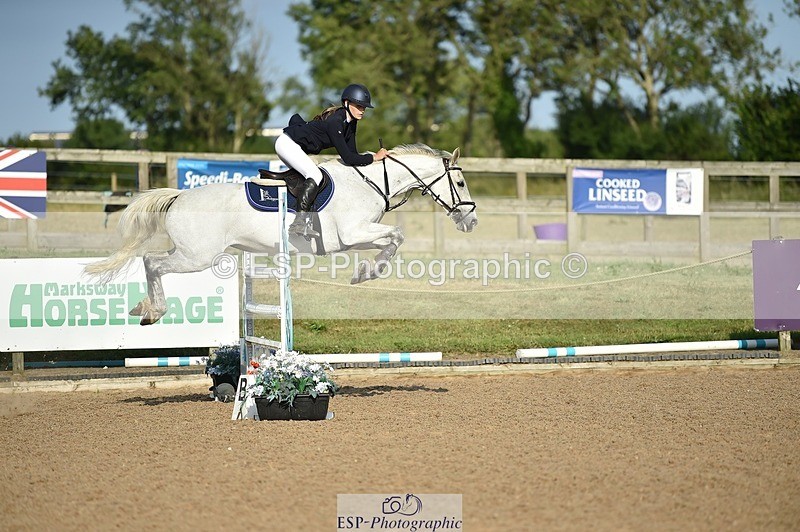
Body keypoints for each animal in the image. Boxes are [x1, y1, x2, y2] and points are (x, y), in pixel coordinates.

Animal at [85, 144, 478, 325]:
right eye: (459, 183)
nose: (470, 221)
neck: (370, 181)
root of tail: (180, 196)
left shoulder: (356, 236)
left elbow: (393, 240)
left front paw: (367, 272)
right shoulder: (352, 234)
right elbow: (395, 236)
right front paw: (366, 273)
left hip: (189, 253)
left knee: (150, 260)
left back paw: (144, 306)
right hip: (197, 256)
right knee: (152, 262)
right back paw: (153, 311)